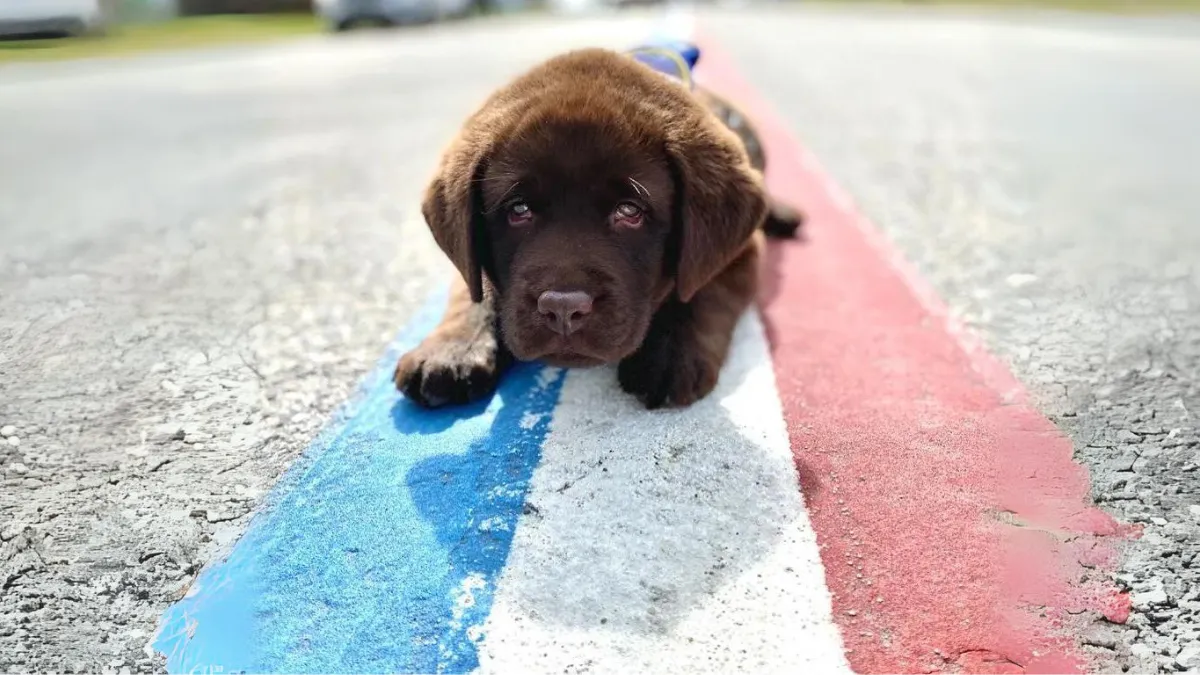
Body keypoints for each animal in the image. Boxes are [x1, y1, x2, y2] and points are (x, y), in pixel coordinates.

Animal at [394, 44, 801, 410]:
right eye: (518, 209)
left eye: (629, 211)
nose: (562, 309)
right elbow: (472, 292)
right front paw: (452, 349)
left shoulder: (740, 250)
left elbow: (700, 289)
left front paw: (670, 353)